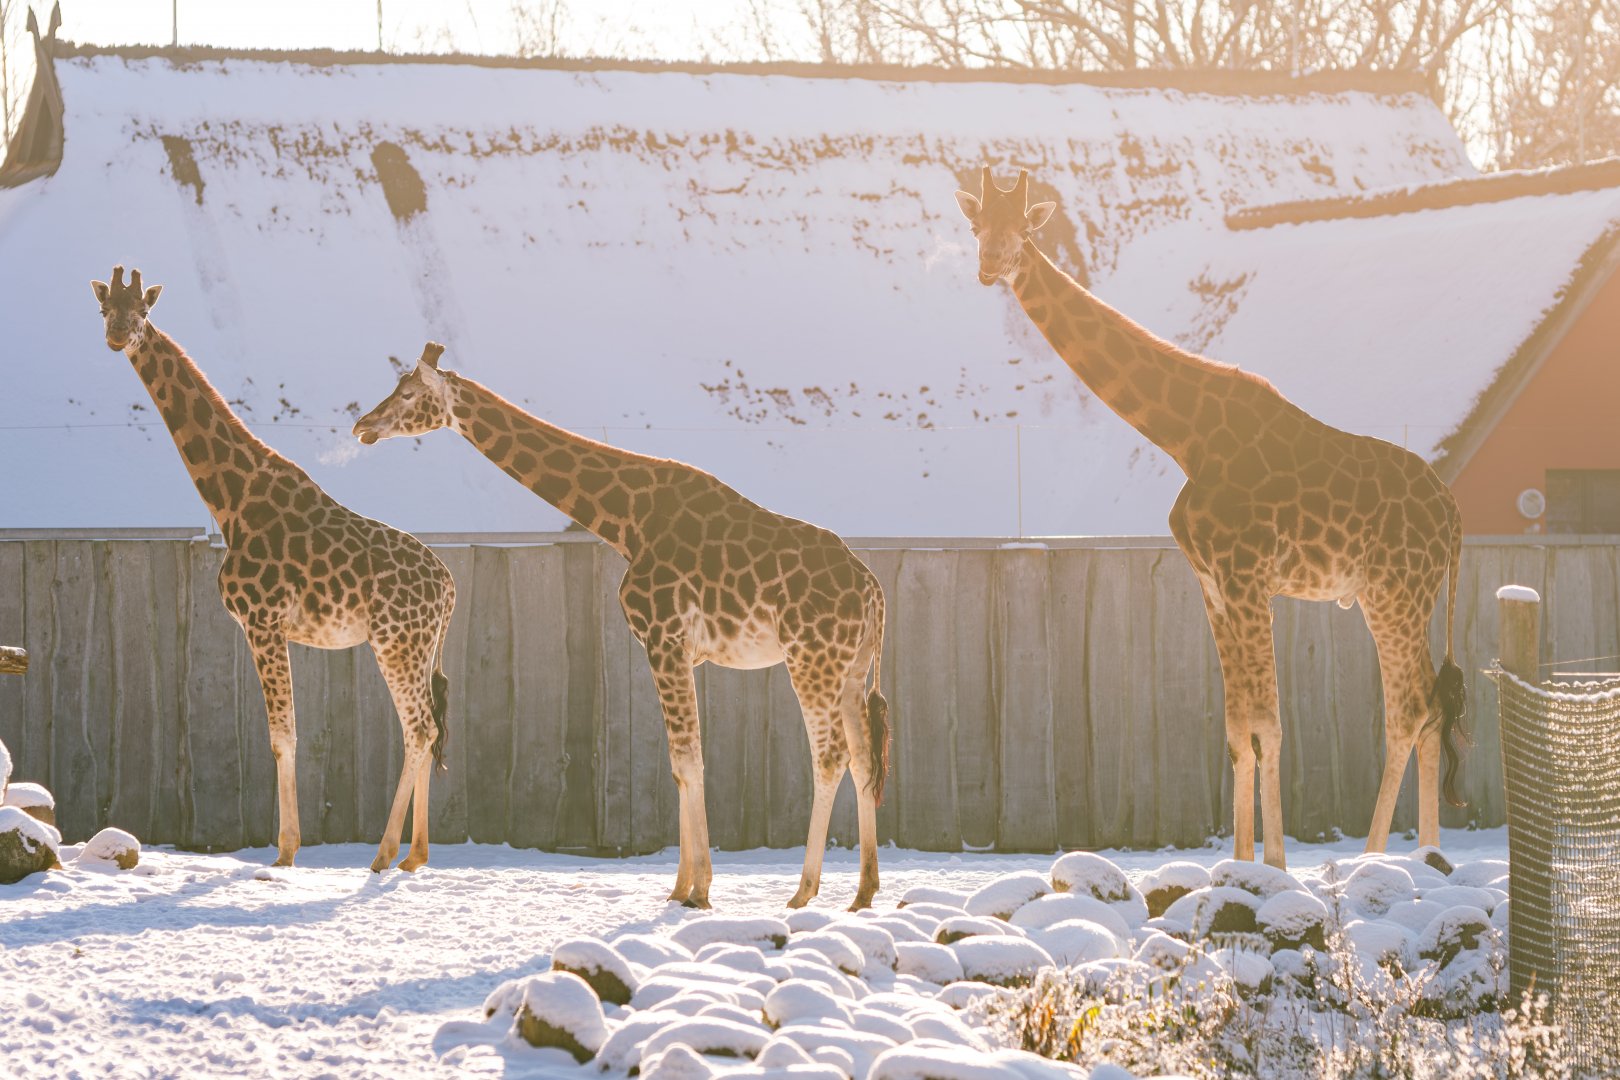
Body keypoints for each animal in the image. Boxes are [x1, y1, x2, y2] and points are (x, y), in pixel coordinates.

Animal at [90, 266, 456, 873]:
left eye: (142, 311)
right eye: (104, 310)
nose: (119, 337)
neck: (231, 498)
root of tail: (450, 589)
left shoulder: (263, 622)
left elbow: (282, 736)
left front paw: (284, 853)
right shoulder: (267, 627)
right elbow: (284, 734)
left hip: (396, 642)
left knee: (420, 728)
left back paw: (384, 855)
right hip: (417, 646)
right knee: (425, 728)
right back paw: (414, 856)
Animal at [352, 343, 890, 909]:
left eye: (409, 393)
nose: (363, 426)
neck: (626, 521)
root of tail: (873, 592)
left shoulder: (664, 638)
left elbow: (686, 760)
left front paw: (698, 889)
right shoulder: (679, 649)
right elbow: (682, 762)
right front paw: (682, 887)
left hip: (811, 658)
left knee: (829, 755)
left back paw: (804, 891)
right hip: (850, 669)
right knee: (861, 757)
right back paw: (864, 892)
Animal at [955, 169, 1467, 869]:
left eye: (1022, 229)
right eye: (978, 226)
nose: (988, 268)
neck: (1185, 435)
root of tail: (1452, 511)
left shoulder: (1249, 577)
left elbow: (1268, 726)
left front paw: (1275, 865)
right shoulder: (1214, 585)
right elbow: (1236, 729)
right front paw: (1241, 863)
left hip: (1395, 591)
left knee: (1409, 708)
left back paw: (1376, 857)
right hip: (1403, 595)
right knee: (1434, 704)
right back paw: (1429, 857)